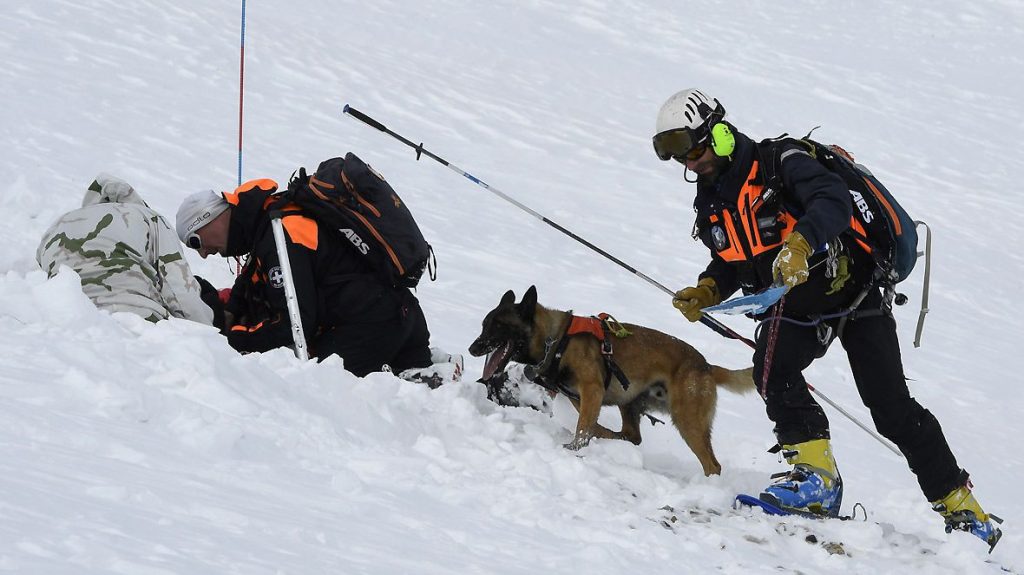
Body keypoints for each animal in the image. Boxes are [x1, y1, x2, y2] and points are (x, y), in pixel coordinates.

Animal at [468, 284, 753, 472]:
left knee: (712, 464)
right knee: (631, 436)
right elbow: (589, 426)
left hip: (688, 421)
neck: (556, 340)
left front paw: (574, 448)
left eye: (499, 326)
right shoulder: (580, 398)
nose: (472, 349)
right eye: (484, 325)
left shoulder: (591, 390)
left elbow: (583, 428)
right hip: (630, 403)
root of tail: (707, 366)